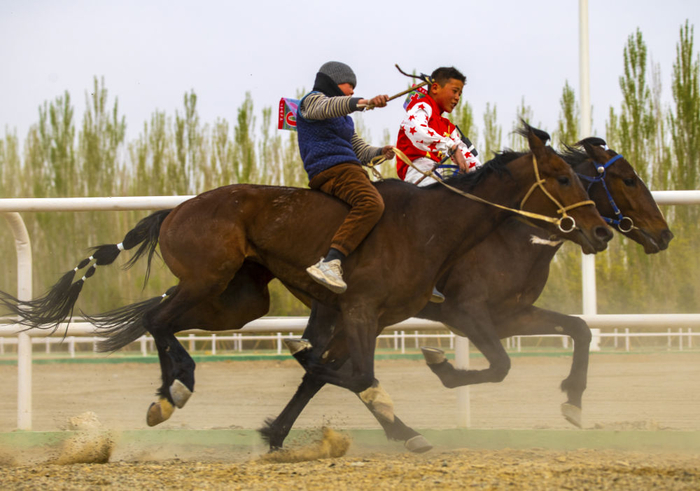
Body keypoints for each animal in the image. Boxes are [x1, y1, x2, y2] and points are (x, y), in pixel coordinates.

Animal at [0, 124, 612, 437]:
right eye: (563, 177)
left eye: (589, 179)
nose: (603, 231)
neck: (433, 226)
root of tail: (176, 210)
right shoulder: (378, 310)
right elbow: (356, 373)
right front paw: (404, 410)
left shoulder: (373, 316)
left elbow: (335, 371)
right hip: (209, 280)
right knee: (159, 318)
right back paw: (178, 387)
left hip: (237, 301)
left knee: (159, 317)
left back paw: (168, 395)